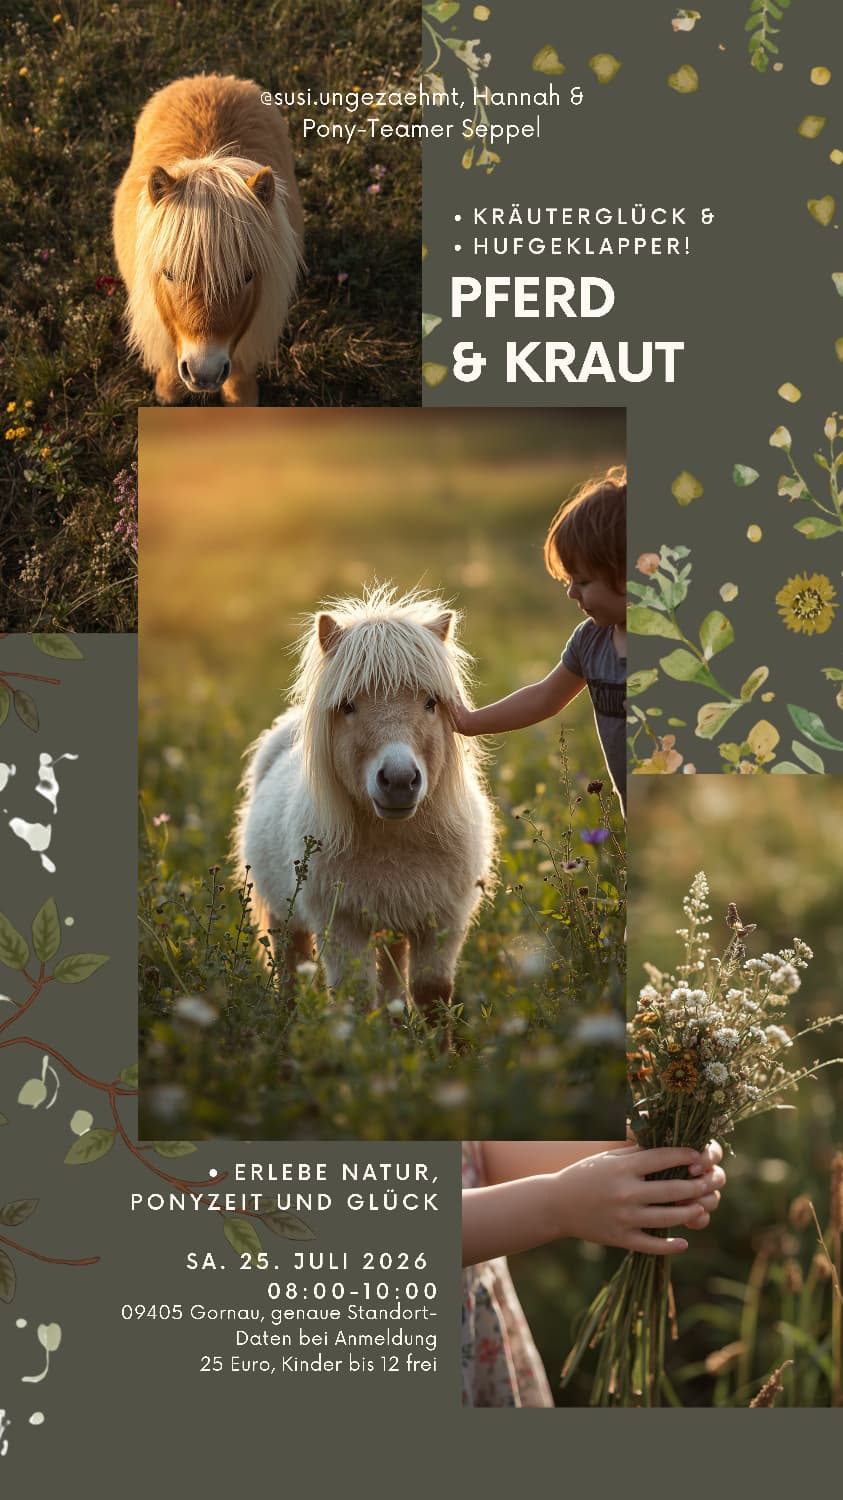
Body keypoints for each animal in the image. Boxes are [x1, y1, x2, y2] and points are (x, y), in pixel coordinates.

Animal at [113, 75, 303, 406]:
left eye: (247, 276)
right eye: (169, 273)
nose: (204, 374)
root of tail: (210, 78)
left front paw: (241, 397)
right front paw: (168, 391)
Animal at [234, 586, 496, 1031]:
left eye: (431, 702)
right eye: (348, 706)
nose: (399, 781)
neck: (393, 842)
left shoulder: (441, 923)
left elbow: (431, 998)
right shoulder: (342, 926)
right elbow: (354, 997)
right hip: (286, 920)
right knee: (292, 975)